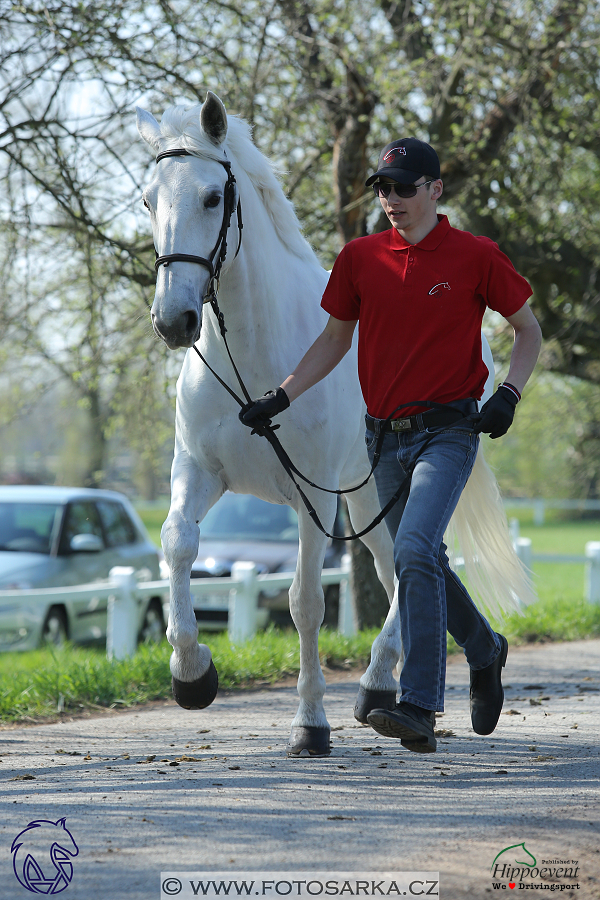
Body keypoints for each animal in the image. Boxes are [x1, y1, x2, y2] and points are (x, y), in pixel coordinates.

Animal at [137, 91, 536, 756]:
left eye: (213, 197)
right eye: (148, 200)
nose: (174, 320)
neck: (253, 359)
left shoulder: (311, 500)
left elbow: (305, 602)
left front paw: (309, 725)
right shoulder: (197, 473)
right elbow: (178, 544)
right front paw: (192, 675)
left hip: (387, 490)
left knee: (415, 563)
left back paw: (391, 690)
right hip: (370, 496)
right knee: (397, 565)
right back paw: (381, 690)